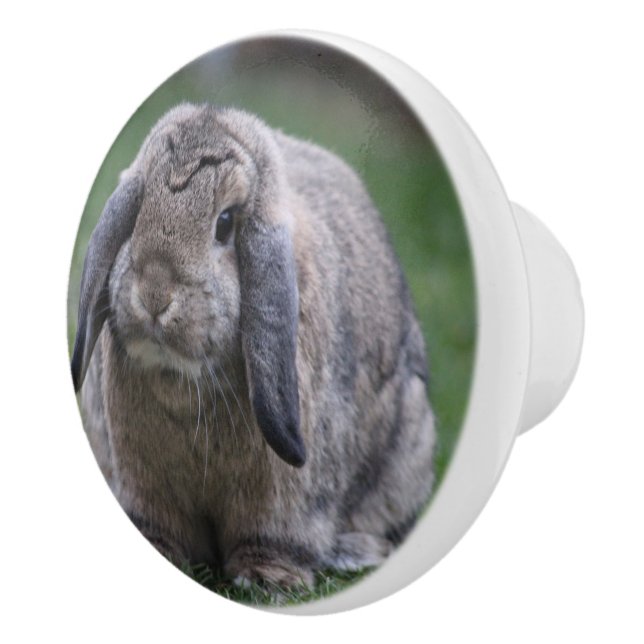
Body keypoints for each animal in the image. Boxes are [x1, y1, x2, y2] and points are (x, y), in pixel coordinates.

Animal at [71, 103, 437, 590]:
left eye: (225, 223)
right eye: (138, 212)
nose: (154, 295)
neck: (185, 381)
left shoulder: (282, 501)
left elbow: (273, 536)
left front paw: (268, 580)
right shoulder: (144, 487)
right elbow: (159, 527)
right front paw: (160, 553)